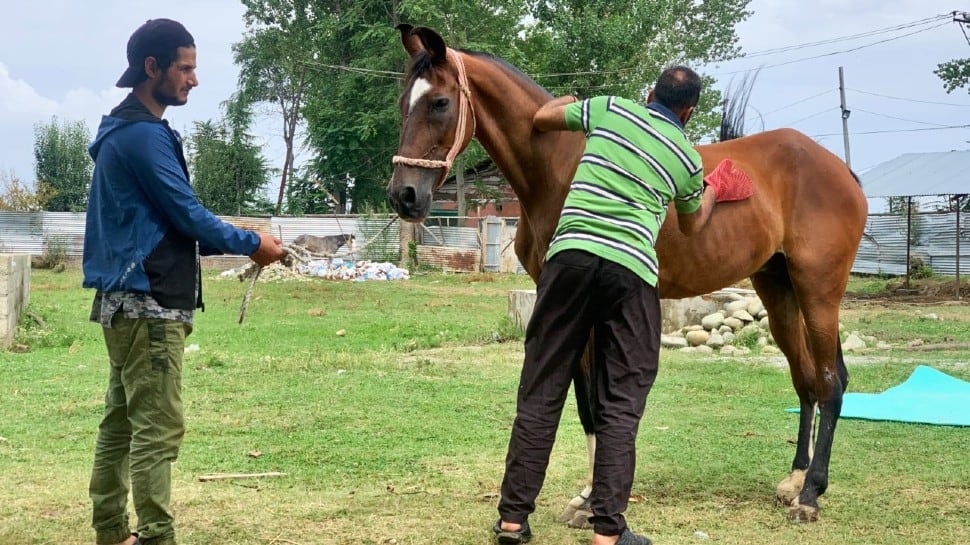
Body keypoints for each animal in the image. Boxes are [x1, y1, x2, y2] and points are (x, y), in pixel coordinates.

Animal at [390, 25, 864, 524]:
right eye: (404, 101)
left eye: (440, 102)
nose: (404, 195)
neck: (557, 167)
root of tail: (839, 169)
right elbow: (585, 402)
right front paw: (585, 497)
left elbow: (598, 400)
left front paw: (594, 500)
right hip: (778, 290)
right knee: (805, 378)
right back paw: (795, 480)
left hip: (818, 292)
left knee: (830, 383)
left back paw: (810, 494)